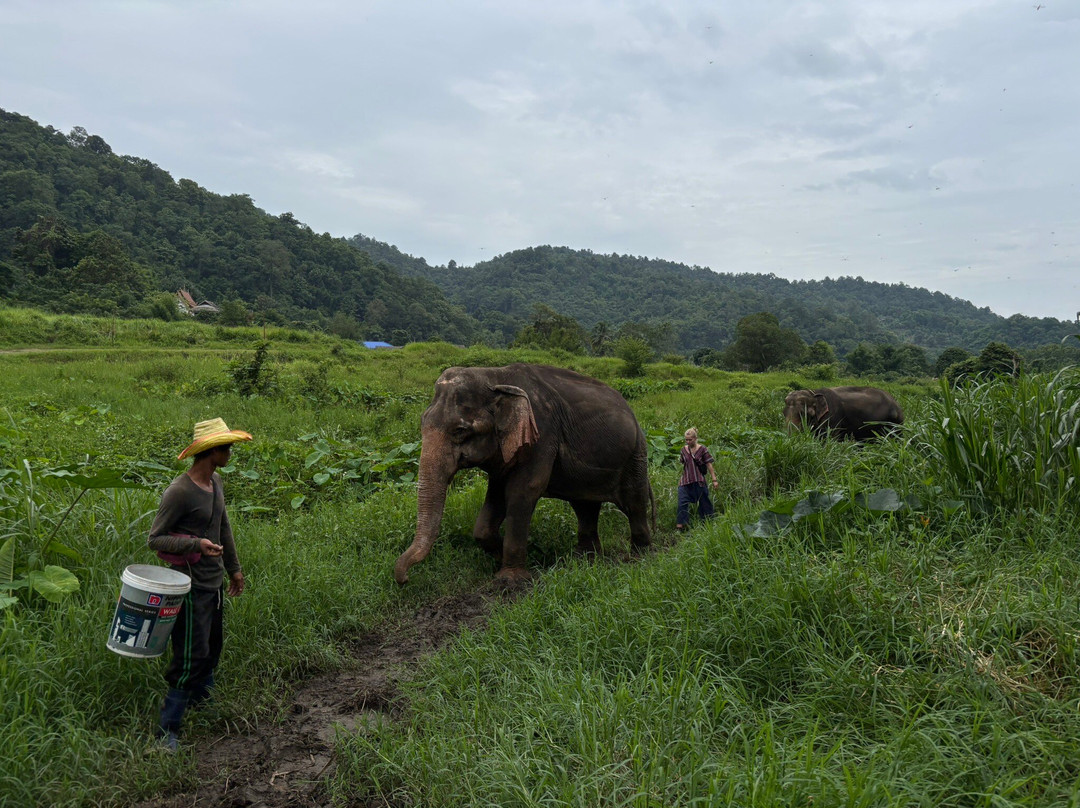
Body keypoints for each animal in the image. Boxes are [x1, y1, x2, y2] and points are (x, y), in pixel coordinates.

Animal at [394, 363, 655, 586]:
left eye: (459, 430)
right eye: (422, 422)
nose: (404, 580)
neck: (494, 376)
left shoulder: (542, 434)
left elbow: (523, 491)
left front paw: (509, 580)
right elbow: (496, 496)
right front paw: (503, 557)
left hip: (636, 455)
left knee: (634, 502)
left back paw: (638, 558)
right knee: (584, 506)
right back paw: (586, 561)